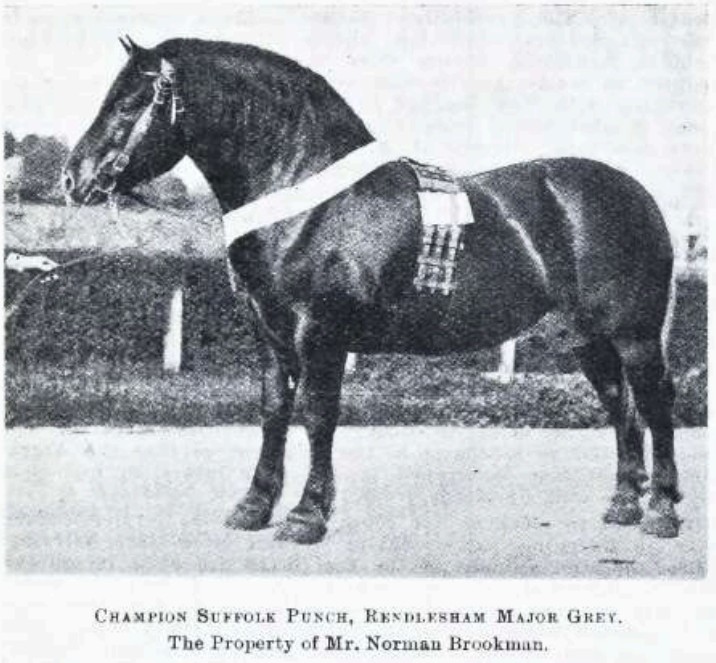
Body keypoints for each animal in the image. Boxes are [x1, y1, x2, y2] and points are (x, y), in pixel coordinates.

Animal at [63, 36, 684, 544]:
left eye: (128, 102)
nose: (74, 178)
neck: (307, 199)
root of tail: (638, 195)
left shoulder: (321, 334)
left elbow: (317, 414)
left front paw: (306, 516)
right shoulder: (270, 333)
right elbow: (273, 411)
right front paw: (253, 507)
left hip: (634, 333)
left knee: (654, 401)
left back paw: (661, 511)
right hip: (586, 338)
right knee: (619, 403)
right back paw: (624, 504)